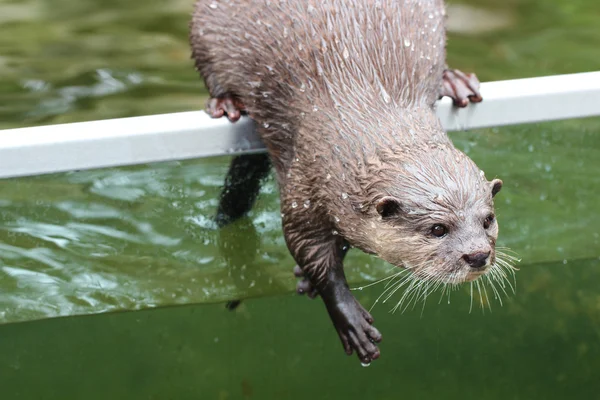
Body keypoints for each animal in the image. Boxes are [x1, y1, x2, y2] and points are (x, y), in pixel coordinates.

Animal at [191, 0, 506, 366]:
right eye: (438, 229)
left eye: (488, 220)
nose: (478, 255)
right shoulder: (304, 186)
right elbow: (308, 248)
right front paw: (349, 318)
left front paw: (308, 281)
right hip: (205, 26)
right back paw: (227, 102)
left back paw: (455, 81)